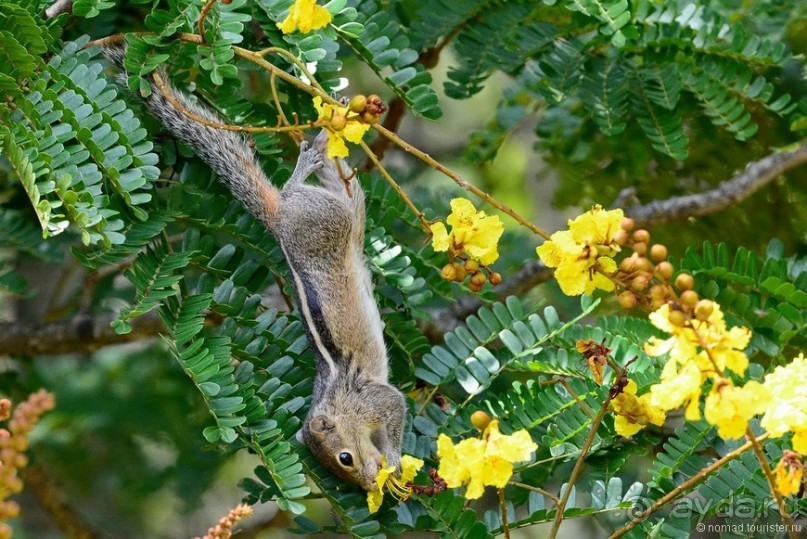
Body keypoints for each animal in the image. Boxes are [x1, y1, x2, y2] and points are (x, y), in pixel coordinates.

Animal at [105, 47, 408, 494]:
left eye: (345, 458)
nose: (369, 486)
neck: (338, 405)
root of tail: (279, 221)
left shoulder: (374, 400)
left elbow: (397, 411)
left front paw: (395, 461)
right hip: (342, 217)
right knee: (346, 191)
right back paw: (327, 143)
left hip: (322, 218)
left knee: (300, 189)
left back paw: (313, 149)